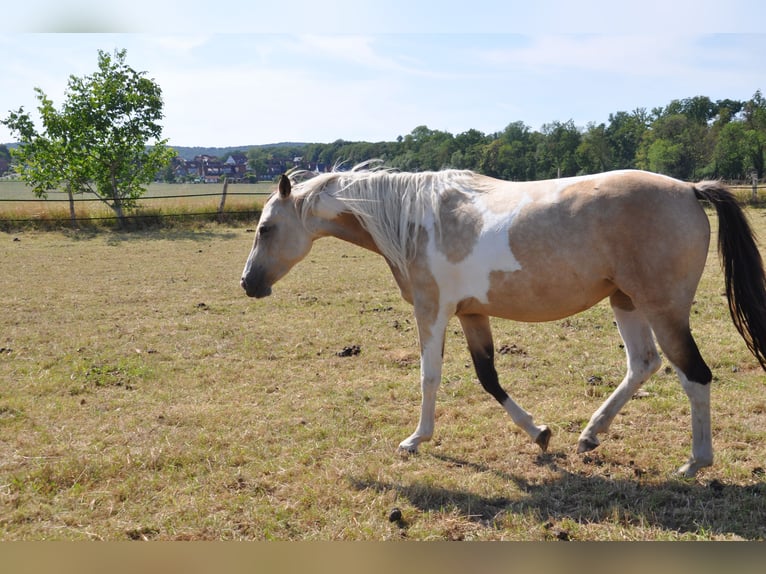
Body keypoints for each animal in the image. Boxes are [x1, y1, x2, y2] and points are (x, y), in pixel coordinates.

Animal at [241, 165, 766, 477]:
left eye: (265, 229)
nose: (248, 283)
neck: (413, 219)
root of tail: (689, 189)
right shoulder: (473, 313)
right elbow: (489, 377)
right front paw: (540, 433)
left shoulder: (432, 309)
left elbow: (429, 376)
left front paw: (416, 439)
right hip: (626, 301)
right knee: (643, 364)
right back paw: (590, 435)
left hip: (662, 309)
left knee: (694, 375)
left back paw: (694, 463)